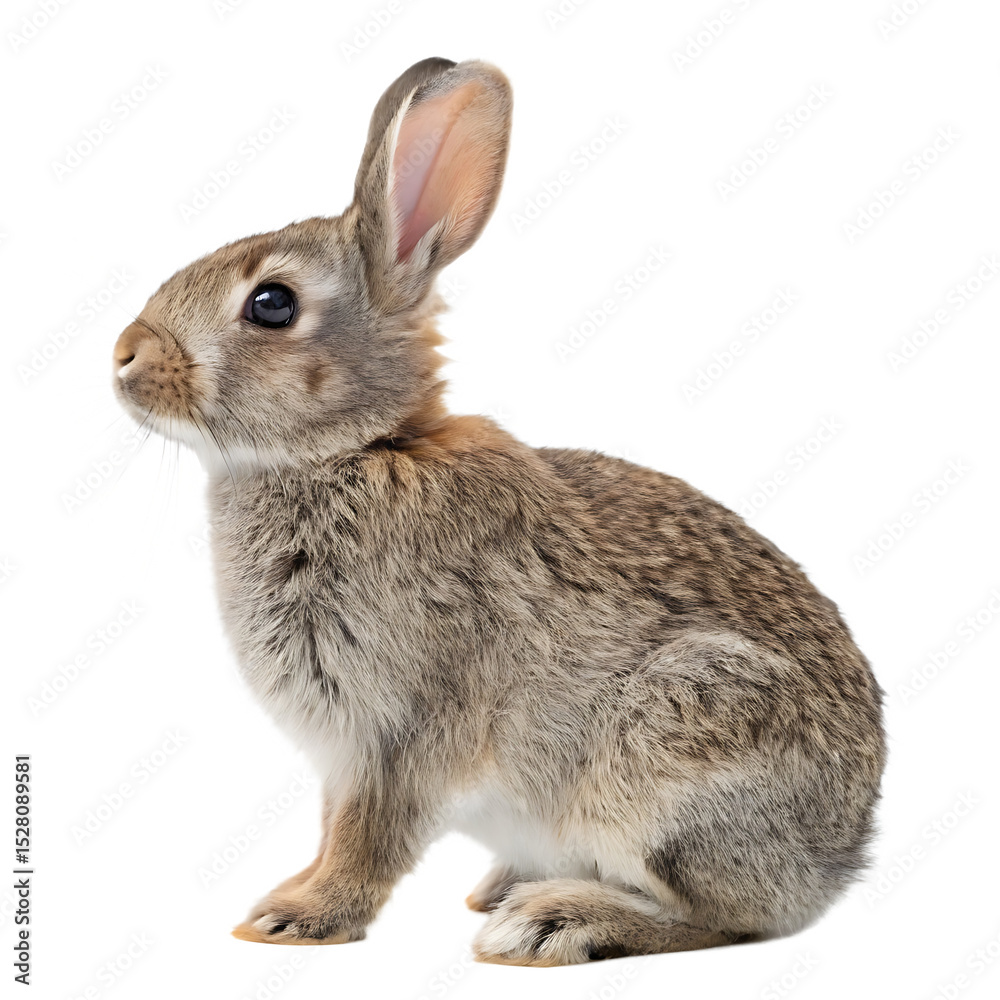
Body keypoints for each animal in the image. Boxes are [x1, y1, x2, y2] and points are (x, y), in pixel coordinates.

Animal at [111, 57, 886, 966]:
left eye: (271, 304)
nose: (124, 354)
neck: (359, 449)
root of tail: (839, 856)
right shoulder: (348, 747)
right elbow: (337, 824)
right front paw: (296, 898)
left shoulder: (406, 722)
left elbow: (368, 832)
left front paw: (296, 917)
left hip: (674, 755)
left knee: (730, 918)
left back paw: (554, 920)